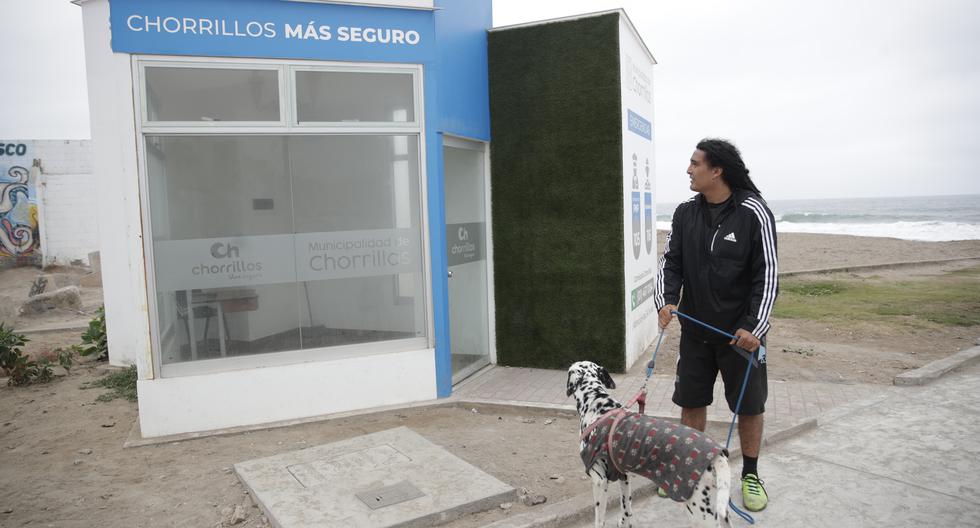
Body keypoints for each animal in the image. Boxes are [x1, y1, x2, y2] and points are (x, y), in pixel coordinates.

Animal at [564, 360, 732, 524]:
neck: (597, 404)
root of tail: (718, 455)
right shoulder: (624, 477)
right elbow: (626, 513)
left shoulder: (599, 481)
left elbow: (599, 520)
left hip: (699, 511)